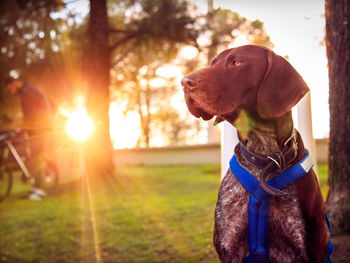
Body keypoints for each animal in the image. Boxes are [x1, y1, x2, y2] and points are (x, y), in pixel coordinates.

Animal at [182, 44, 330, 262]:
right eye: (212, 63)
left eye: (237, 62)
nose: (184, 82)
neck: (264, 156)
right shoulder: (229, 247)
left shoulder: (311, 249)